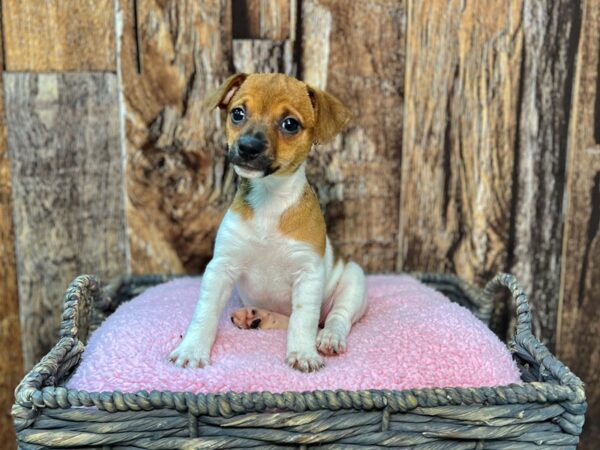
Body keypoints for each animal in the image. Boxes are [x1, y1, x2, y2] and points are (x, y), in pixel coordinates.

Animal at [166, 72, 368, 370]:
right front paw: (192, 349)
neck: (269, 201)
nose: (248, 147)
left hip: (353, 281)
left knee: (336, 317)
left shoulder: (307, 276)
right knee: (286, 319)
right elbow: (205, 313)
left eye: (290, 124)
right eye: (237, 113)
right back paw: (257, 317)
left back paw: (329, 338)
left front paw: (303, 353)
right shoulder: (221, 268)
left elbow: (303, 320)